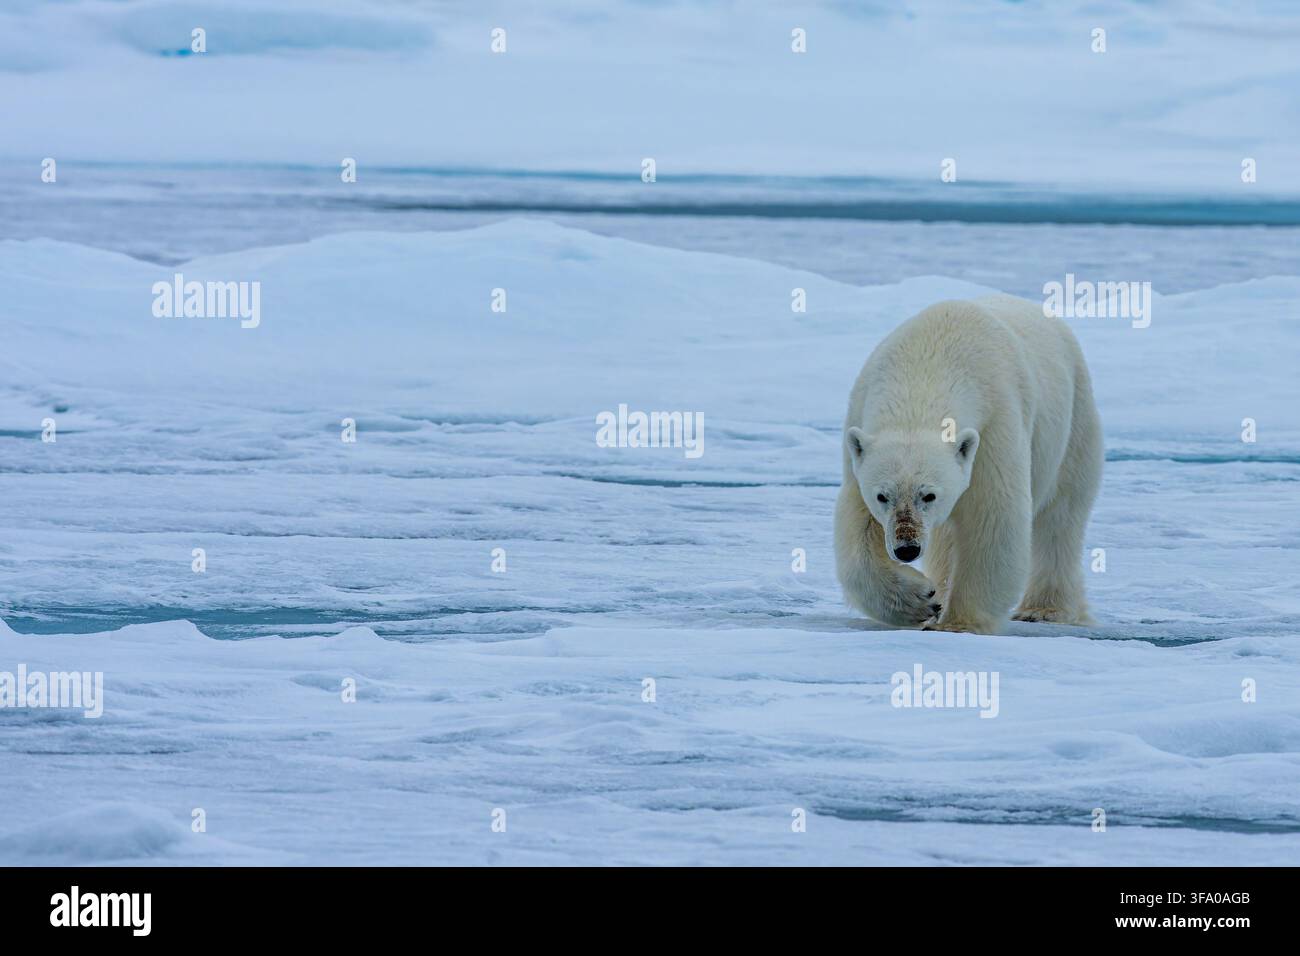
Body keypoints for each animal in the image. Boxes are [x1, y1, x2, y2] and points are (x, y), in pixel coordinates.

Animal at [834, 294, 1103, 634]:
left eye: (929, 495)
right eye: (882, 496)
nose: (907, 549)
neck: (925, 368)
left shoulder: (994, 425)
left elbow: (992, 514)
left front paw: (958, 623)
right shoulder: (860, 432)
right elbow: (859, 524)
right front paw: (920, 600)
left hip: (1074, 423)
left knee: (1061, 517)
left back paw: (1044, 610)